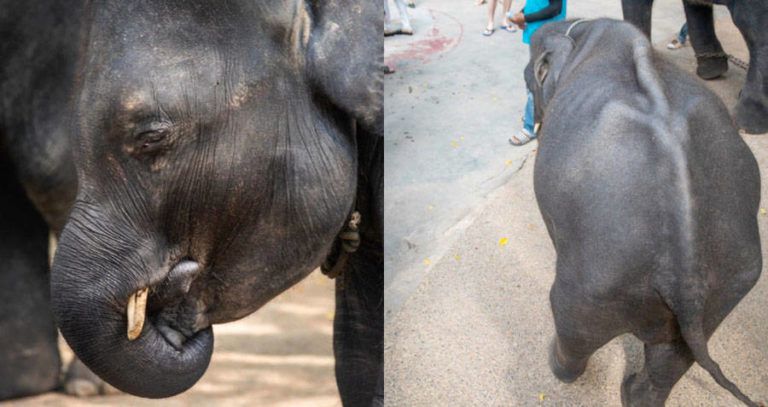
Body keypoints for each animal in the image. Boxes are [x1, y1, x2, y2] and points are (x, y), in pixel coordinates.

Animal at [527, 18, 761, 406]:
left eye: (529, 75)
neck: (581, 32)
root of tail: (685, 275)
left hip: (595, 287)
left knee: (571, 325)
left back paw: (556, 366)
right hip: (732, 279)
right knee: (673, 356)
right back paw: (631, 393)